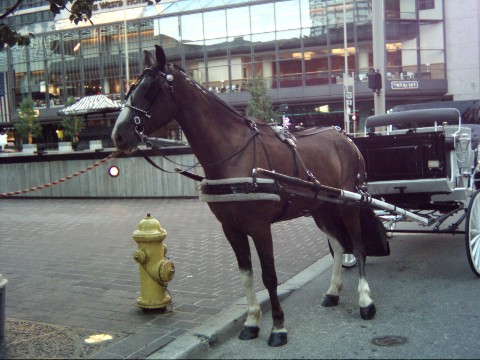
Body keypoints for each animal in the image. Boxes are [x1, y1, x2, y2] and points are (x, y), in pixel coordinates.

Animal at [113, 45, 390, 346]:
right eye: (130, 88)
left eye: (150, 89)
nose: (118, 135)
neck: (234, 153)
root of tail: (346, 138)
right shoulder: (231, 228)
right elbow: (246, 274)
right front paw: (252, 322)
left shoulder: (259, 227)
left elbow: (269, 276)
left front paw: (278, 328)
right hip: (322, 208)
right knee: (340, 245)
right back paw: (332, 292)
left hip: (349, 204)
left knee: (358, 246)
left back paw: (365, 301)